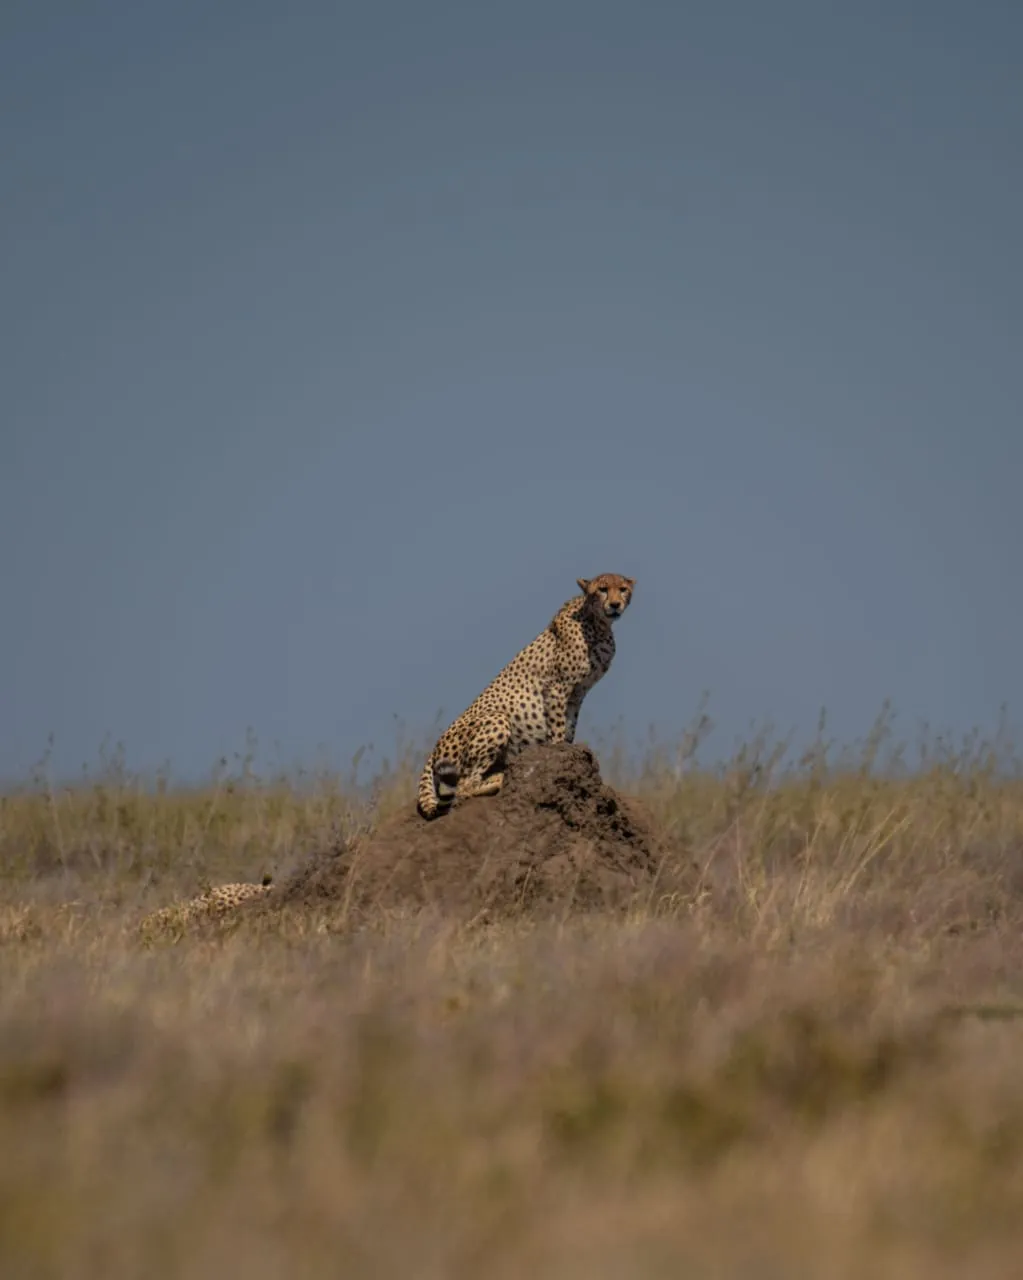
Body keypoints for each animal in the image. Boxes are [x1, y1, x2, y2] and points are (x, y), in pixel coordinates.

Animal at [417, 573, 635, 820]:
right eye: (603, 589)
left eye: (623, 589)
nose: (615, 605)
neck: (597, 623)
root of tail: (434, 748)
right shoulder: (557, 687)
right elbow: (558, 726)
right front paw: (558, 749)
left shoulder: (577, 694)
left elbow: (569, 724)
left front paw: (568, 749)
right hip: (496, 719)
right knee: (463, 787)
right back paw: (499, 779)